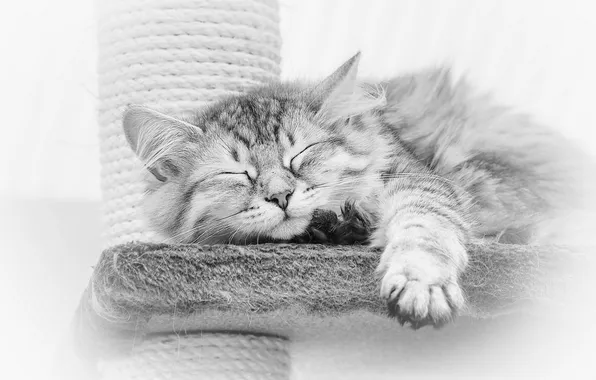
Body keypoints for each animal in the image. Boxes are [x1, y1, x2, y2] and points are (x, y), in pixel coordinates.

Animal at [121, 52, 592, 328]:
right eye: (238, 174)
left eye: (300, 154)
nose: (280, 195)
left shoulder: (417, 179)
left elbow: (423, 228)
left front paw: (420, 284)